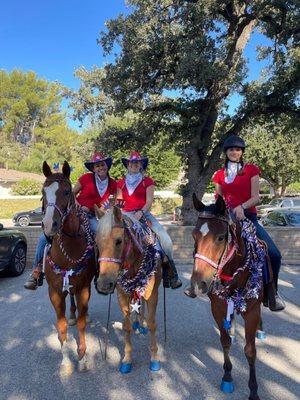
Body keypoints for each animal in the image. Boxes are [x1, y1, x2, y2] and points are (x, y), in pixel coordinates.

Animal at [41, 161, 95, 376]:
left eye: (66, 192)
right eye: (43, 192)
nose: (49, 225)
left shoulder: (84, 289)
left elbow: (81, 324)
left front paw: (83, 358)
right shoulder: (54, 291)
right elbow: (61, 325)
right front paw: (65, 361)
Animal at [95, 205, 163, 374]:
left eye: (119, 241)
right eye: (96, 242)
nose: (104, 284)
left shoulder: (153, 294)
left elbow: (152, 324)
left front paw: (154, 358)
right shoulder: (122, 295)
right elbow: (126, 327)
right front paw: (127, 359)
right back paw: (137, 323)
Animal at [190, 194, 262, 400]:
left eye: (221, 237)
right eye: (194, 235)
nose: (198, 285)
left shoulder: (252, 312)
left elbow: (250, 351)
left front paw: (253, 390)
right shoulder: (218, 307)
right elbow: (225, 341)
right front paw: (228, 376)